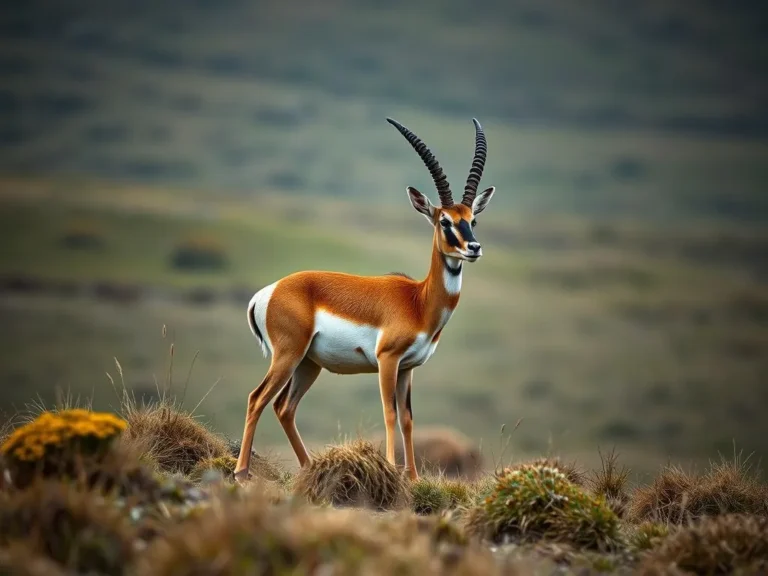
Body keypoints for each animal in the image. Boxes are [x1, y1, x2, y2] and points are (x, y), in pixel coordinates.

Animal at [236, 117, 498, 482]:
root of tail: (267, 293)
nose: (473, 248)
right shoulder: (387, 360)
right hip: (287, 356)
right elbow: (389, 412)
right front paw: (391, 468)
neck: (418, 301)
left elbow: (407, 418)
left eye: (472, 220)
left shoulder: (408, 368)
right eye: (444, 221)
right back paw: (241, 472)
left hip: (308, 363)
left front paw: (413, 478)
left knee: (283, 407)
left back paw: (308, 468)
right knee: (256, 398)